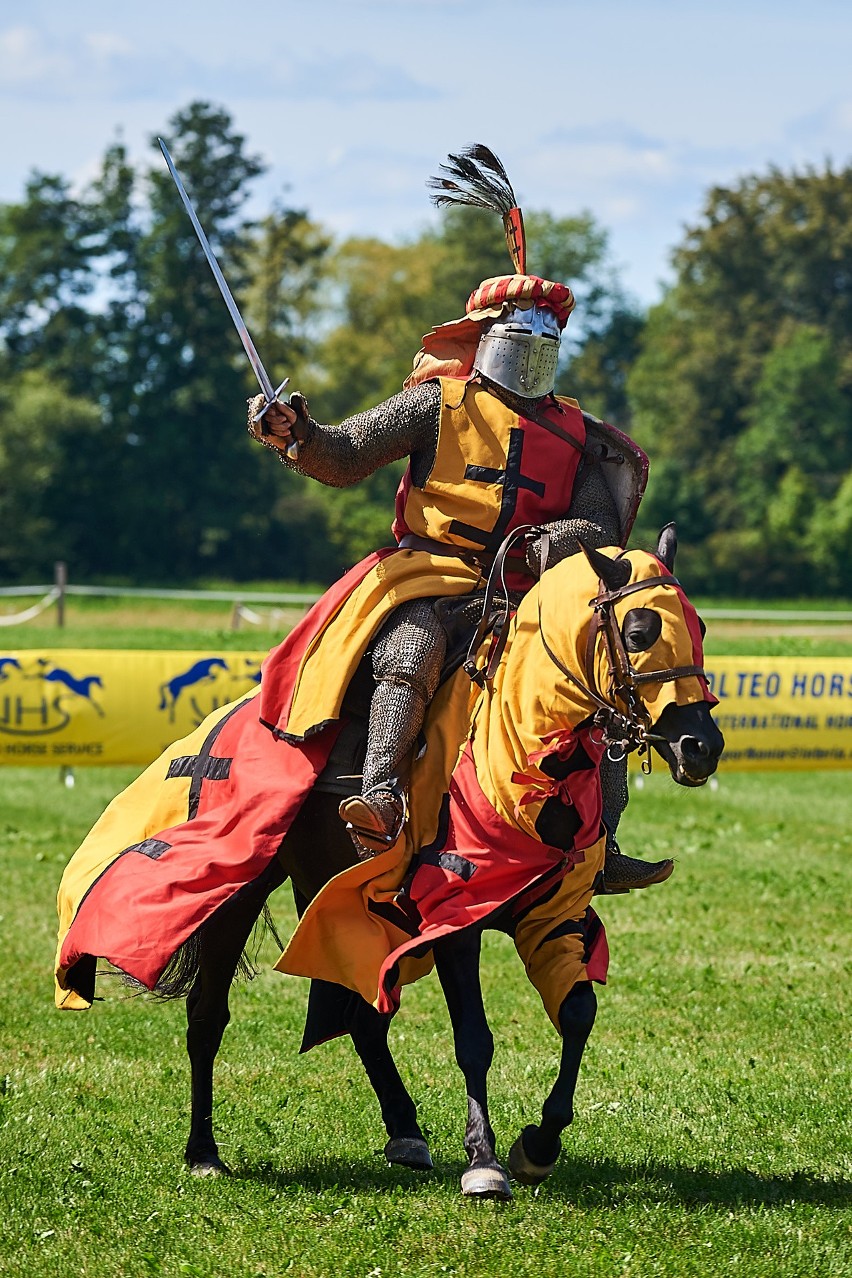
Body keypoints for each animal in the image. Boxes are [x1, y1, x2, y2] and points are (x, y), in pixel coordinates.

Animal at [53, 521, 725, 1196]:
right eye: (638, 632)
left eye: (696, 626)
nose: (701, 746)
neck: (521, 758)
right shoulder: (454, 917)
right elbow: (474, 1038)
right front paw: (484, 1162)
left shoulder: (553, 916)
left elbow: (579, 1012)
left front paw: (538, 1143)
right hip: (240, 889)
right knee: (208, 1016)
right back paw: (203, 1151)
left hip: (331, 894)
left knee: (360, 1015)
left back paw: (405, 1130)